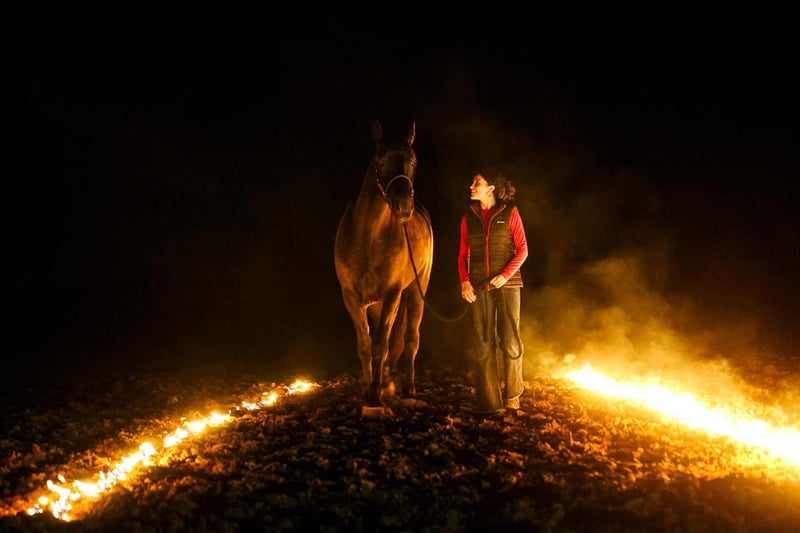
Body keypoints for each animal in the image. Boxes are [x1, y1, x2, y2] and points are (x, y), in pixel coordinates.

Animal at [334, 119, 433, 410]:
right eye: (381, 160)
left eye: (413, 160)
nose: (403, 206)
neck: (368, 238)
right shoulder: (351, 297)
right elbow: (366, 345)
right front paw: (369, 389)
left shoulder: (392, 294)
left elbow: (380, 344)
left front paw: (376, 395)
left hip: (416, 292)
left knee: (410, 338)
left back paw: (408, 388)